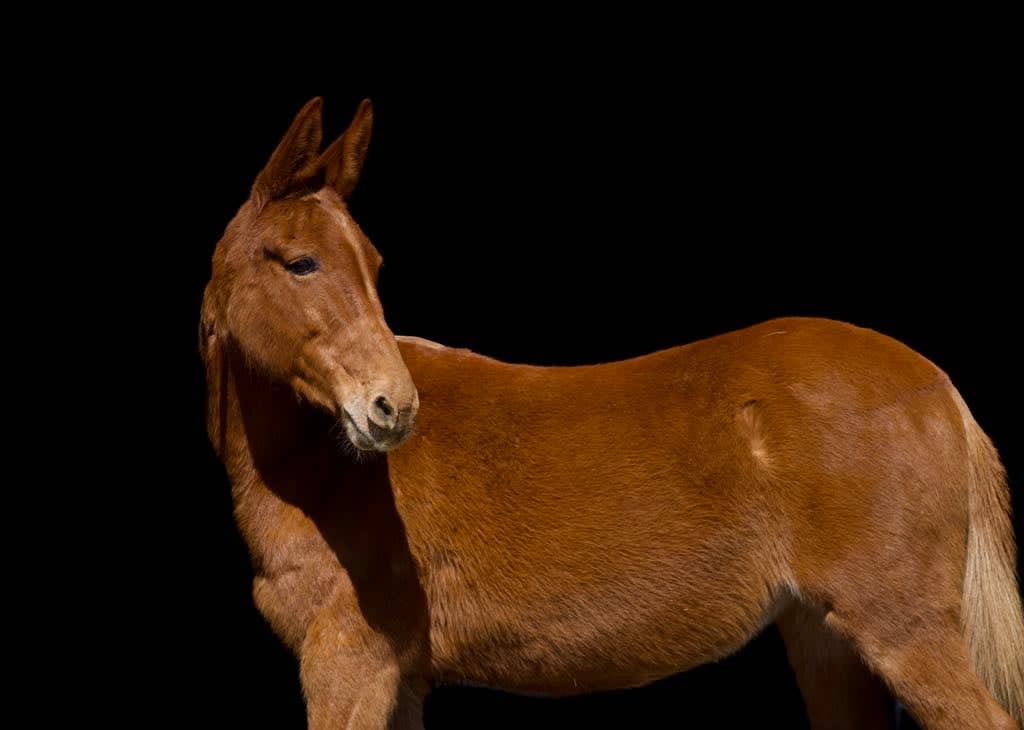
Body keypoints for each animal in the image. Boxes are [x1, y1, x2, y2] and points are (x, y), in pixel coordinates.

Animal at [200, 97, 1023, 729]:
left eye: (372, 265)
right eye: (300, 262)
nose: (392, 408)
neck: (323, 475)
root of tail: (936, 384)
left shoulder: (351, 665)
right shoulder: (395, 678)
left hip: (902, 631)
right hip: (827, 641)